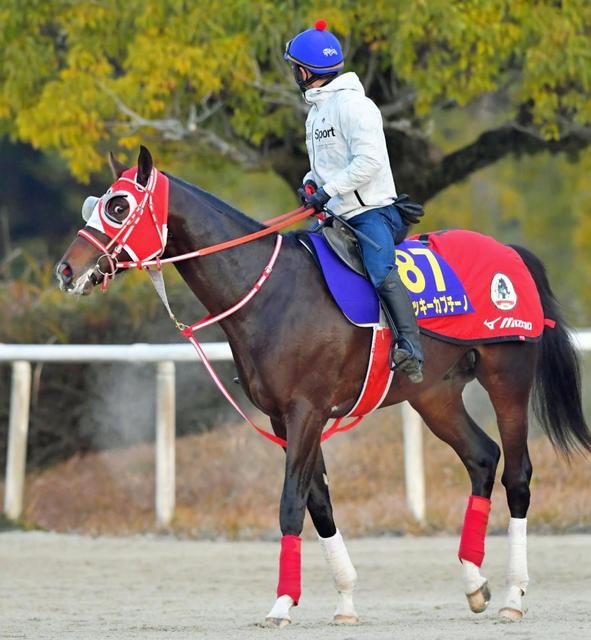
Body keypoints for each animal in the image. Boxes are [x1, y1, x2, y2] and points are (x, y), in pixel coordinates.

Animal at [56, 148, 591, 628]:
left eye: (118, 206)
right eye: (96, 203)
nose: (66, 270)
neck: (271, 292)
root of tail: (511, 253)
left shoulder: (306, 411)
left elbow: (292, 503)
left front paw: (280, 605)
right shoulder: (283, 416)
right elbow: (319, 503)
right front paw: (345, 601)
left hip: (507, 378)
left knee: (517, 475)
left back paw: (514, 596)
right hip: (435, 396)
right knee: (482, 458)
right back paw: (474, 582)